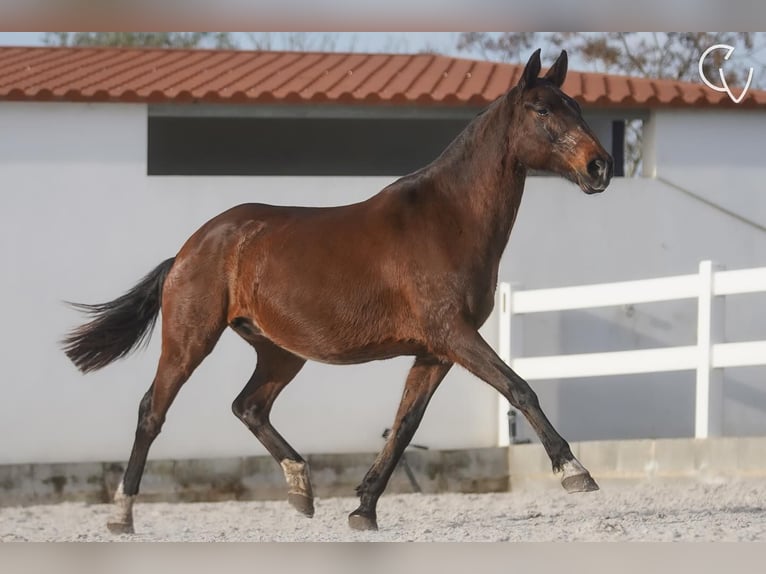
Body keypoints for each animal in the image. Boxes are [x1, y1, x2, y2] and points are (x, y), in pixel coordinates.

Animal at [60, 50, 616, 536]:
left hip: (279, 351)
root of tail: (189, 249)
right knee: (152, 411)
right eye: (542, 109)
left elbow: (405, 426)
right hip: (190, 338)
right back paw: (122, 516)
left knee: (249, 407)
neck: (448, 219)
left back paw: (301, 490)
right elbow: (519, 387)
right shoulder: (453, 335)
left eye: (577, 106)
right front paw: (575, 472)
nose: (601, 167)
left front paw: (363, 509)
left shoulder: (435, 352)